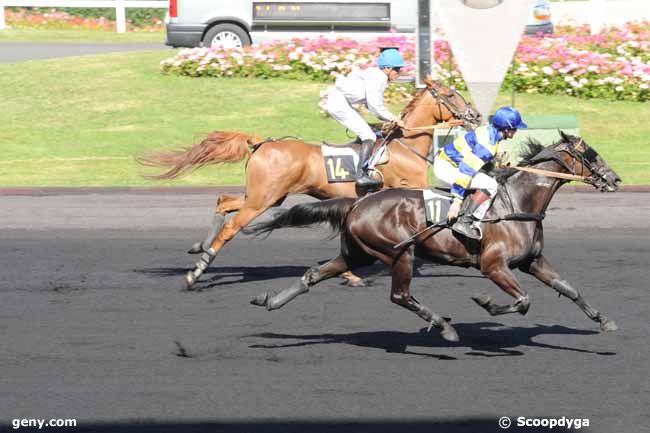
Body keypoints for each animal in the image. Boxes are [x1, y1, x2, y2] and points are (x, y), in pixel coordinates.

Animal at [137, 78, 478, 286]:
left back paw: (201, 248)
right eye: (450, 95)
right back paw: (198, 270)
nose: (474, 115)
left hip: (266, 196)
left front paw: (350, 273)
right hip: (262, 199)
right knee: (232, 226)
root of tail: (261, 142)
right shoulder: (411, 189)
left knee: (223, 202)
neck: (405, 144)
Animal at [247, 132, 616, 340]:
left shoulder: (532, 261)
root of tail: (359, 201)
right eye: (591, 155)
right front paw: (486, 303)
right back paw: (445, 327)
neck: (516, 202)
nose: (615, 178)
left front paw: (604, 320)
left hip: (358, 253)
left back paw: (270, 301)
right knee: (400, 296)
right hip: (398, 253)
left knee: (315, 273)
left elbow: (568, 288)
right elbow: (523, 301)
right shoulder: (494, 265)